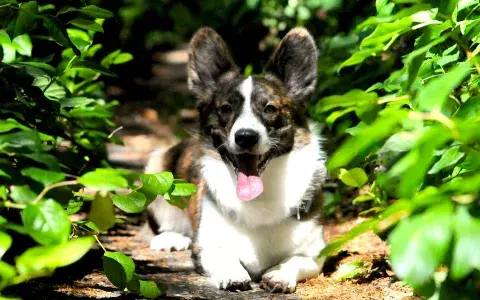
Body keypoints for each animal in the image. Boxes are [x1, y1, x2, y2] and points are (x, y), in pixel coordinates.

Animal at [145, 26, 326, 292]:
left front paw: (280, 274)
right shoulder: (207, 248)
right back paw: (172, 237)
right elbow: (224, 256)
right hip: (155, 167)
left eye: (270, 109)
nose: (246, 137)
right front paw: (233, 274)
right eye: (225, 109)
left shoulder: (315, 255)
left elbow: (297, 260)